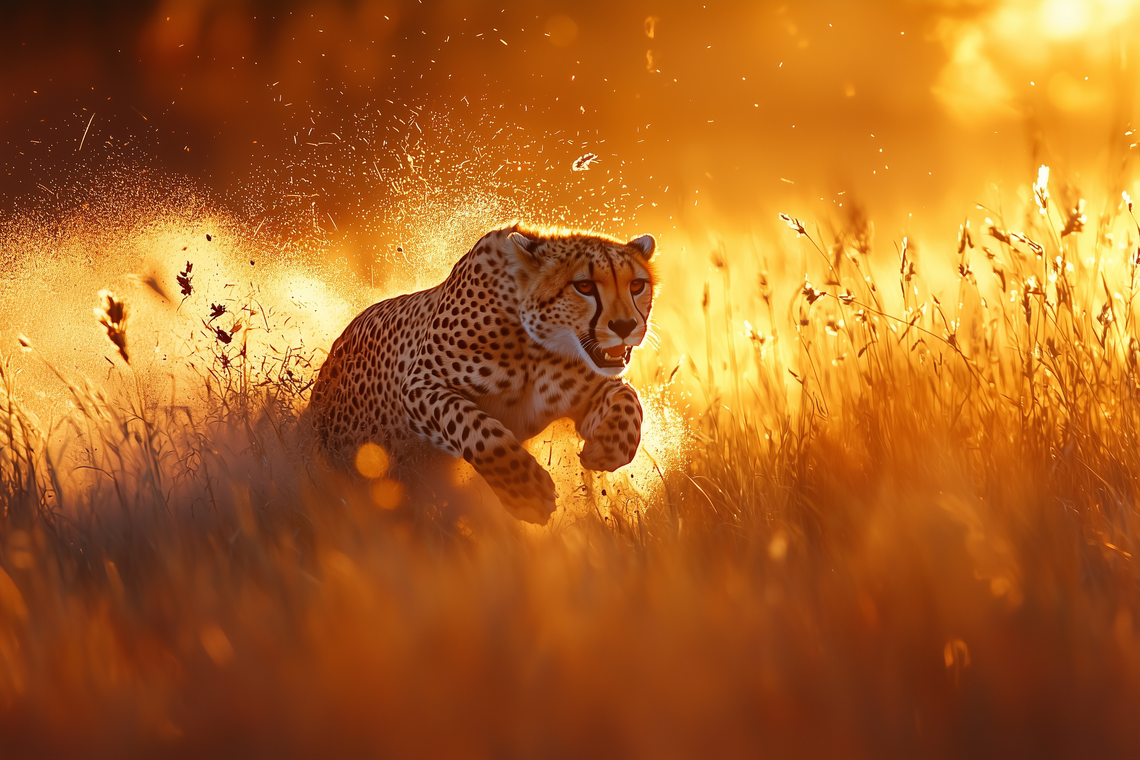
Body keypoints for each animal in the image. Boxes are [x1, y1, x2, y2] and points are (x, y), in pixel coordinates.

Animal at [310, 223, 661, 526]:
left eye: (636, 285)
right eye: (584, 286)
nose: (625, 326)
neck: (537, 346)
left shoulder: (586, 397)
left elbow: (628, 397)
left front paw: (609, 445)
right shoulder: (420, 386)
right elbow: (475, 427)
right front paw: (525, 491)